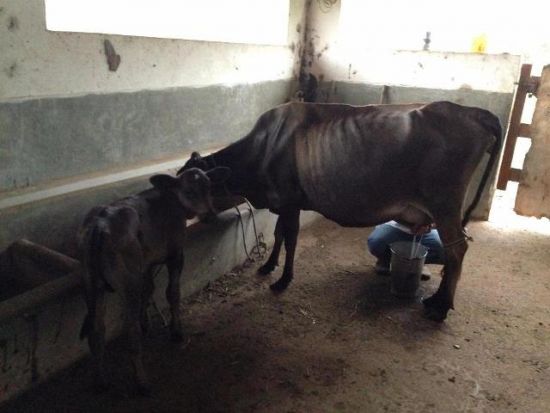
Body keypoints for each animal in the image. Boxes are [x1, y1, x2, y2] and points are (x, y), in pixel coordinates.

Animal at [78, 166, 229, 394]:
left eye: (209, 187)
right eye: (189, 191)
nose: (210, 214)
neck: (172, 201)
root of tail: (100, 224)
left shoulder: (147, 263)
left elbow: (149, 289)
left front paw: (146, 323)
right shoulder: (176, 254)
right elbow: (172, 292)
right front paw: (176, 332)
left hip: (91, 284)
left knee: (97, 330)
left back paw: (101, 381)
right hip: (128, 282)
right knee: (130, 333)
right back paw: (142, 382)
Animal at [178, 101, 502, 323]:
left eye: (191, 190)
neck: (262, 150)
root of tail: (472, 111)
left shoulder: (290, 200)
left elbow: (290, 238)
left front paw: (283, 280)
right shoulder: (283, 202)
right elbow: (279, 234)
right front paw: (268, 266)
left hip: (445, 203)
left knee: (457, 249)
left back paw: (440, 306)